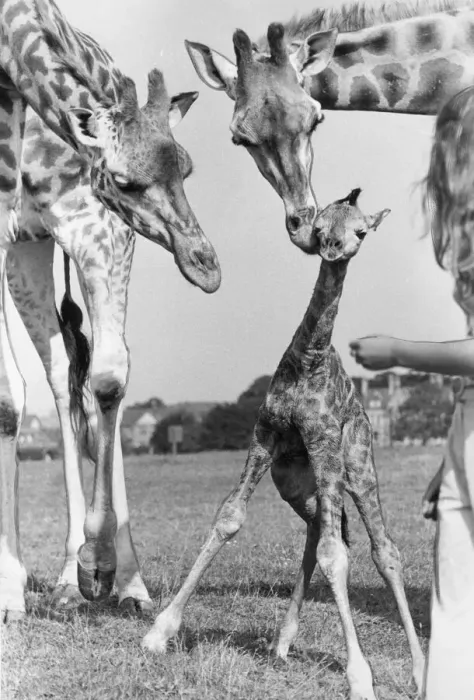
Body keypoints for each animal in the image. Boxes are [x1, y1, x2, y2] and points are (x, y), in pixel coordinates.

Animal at [0, 0, 221, 619]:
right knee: (52, 377)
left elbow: (109, 378)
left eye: (186, 167)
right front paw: (11, 588)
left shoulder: (101, 231)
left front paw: (104, 569)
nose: (206, 266)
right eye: (124, 179)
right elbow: (10, 397)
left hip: (46, 244)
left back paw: (100, 580)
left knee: (83, 376)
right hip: (26, 248)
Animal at [142, 189, 425, 700]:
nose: (332, 248)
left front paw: (360, 676)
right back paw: (282, 642)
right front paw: (159, 632)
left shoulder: (325, 446)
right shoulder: (264, 439)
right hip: (297, 484)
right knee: (319, 535)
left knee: (381, 549)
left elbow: (339, 556)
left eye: (362, 230)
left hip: (355, 468)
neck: (309, 357)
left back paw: (418, 671)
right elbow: (229, 519)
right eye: (321, 225)